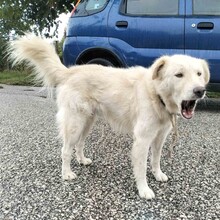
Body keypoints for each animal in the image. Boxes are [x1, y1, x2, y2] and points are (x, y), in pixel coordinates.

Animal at [8, 34, 211, 199]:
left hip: (87, 122)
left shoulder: (160, 137)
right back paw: (66, 174)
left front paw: (157, 174)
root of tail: (71, 70)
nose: (200, 91)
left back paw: (82, 160)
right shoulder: (142, 139)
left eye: (199, 74)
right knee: (65, 150)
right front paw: (144, 189)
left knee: (79, 145)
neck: (156, 94)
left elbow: (155, 159)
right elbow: (141, 168)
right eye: (179, 75)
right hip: (75, 123)